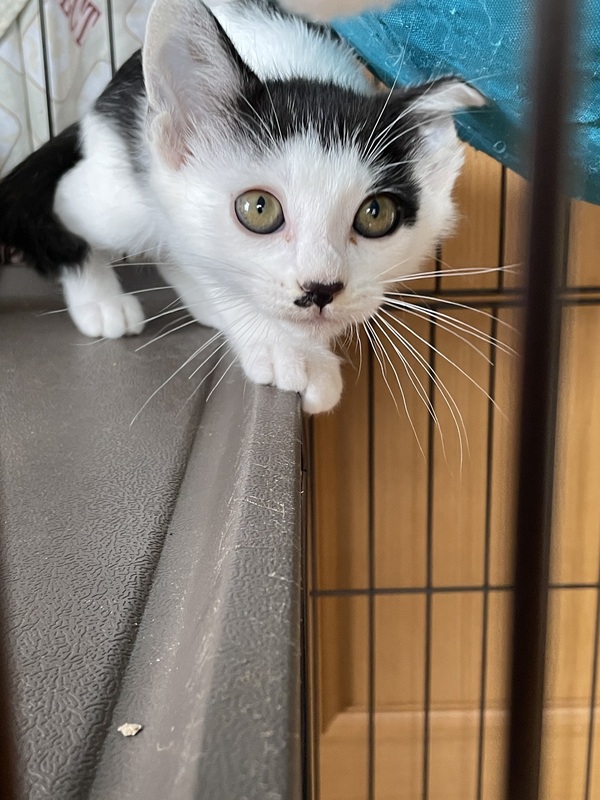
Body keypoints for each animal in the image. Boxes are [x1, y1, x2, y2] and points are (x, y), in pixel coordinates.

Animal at [0, 0, 483, 413]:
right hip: (119, 196)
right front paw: (285, 349)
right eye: (259, 208)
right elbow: (212, 265)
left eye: (376, 214)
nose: (321, 289)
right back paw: (100, 300)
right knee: (69, 203)